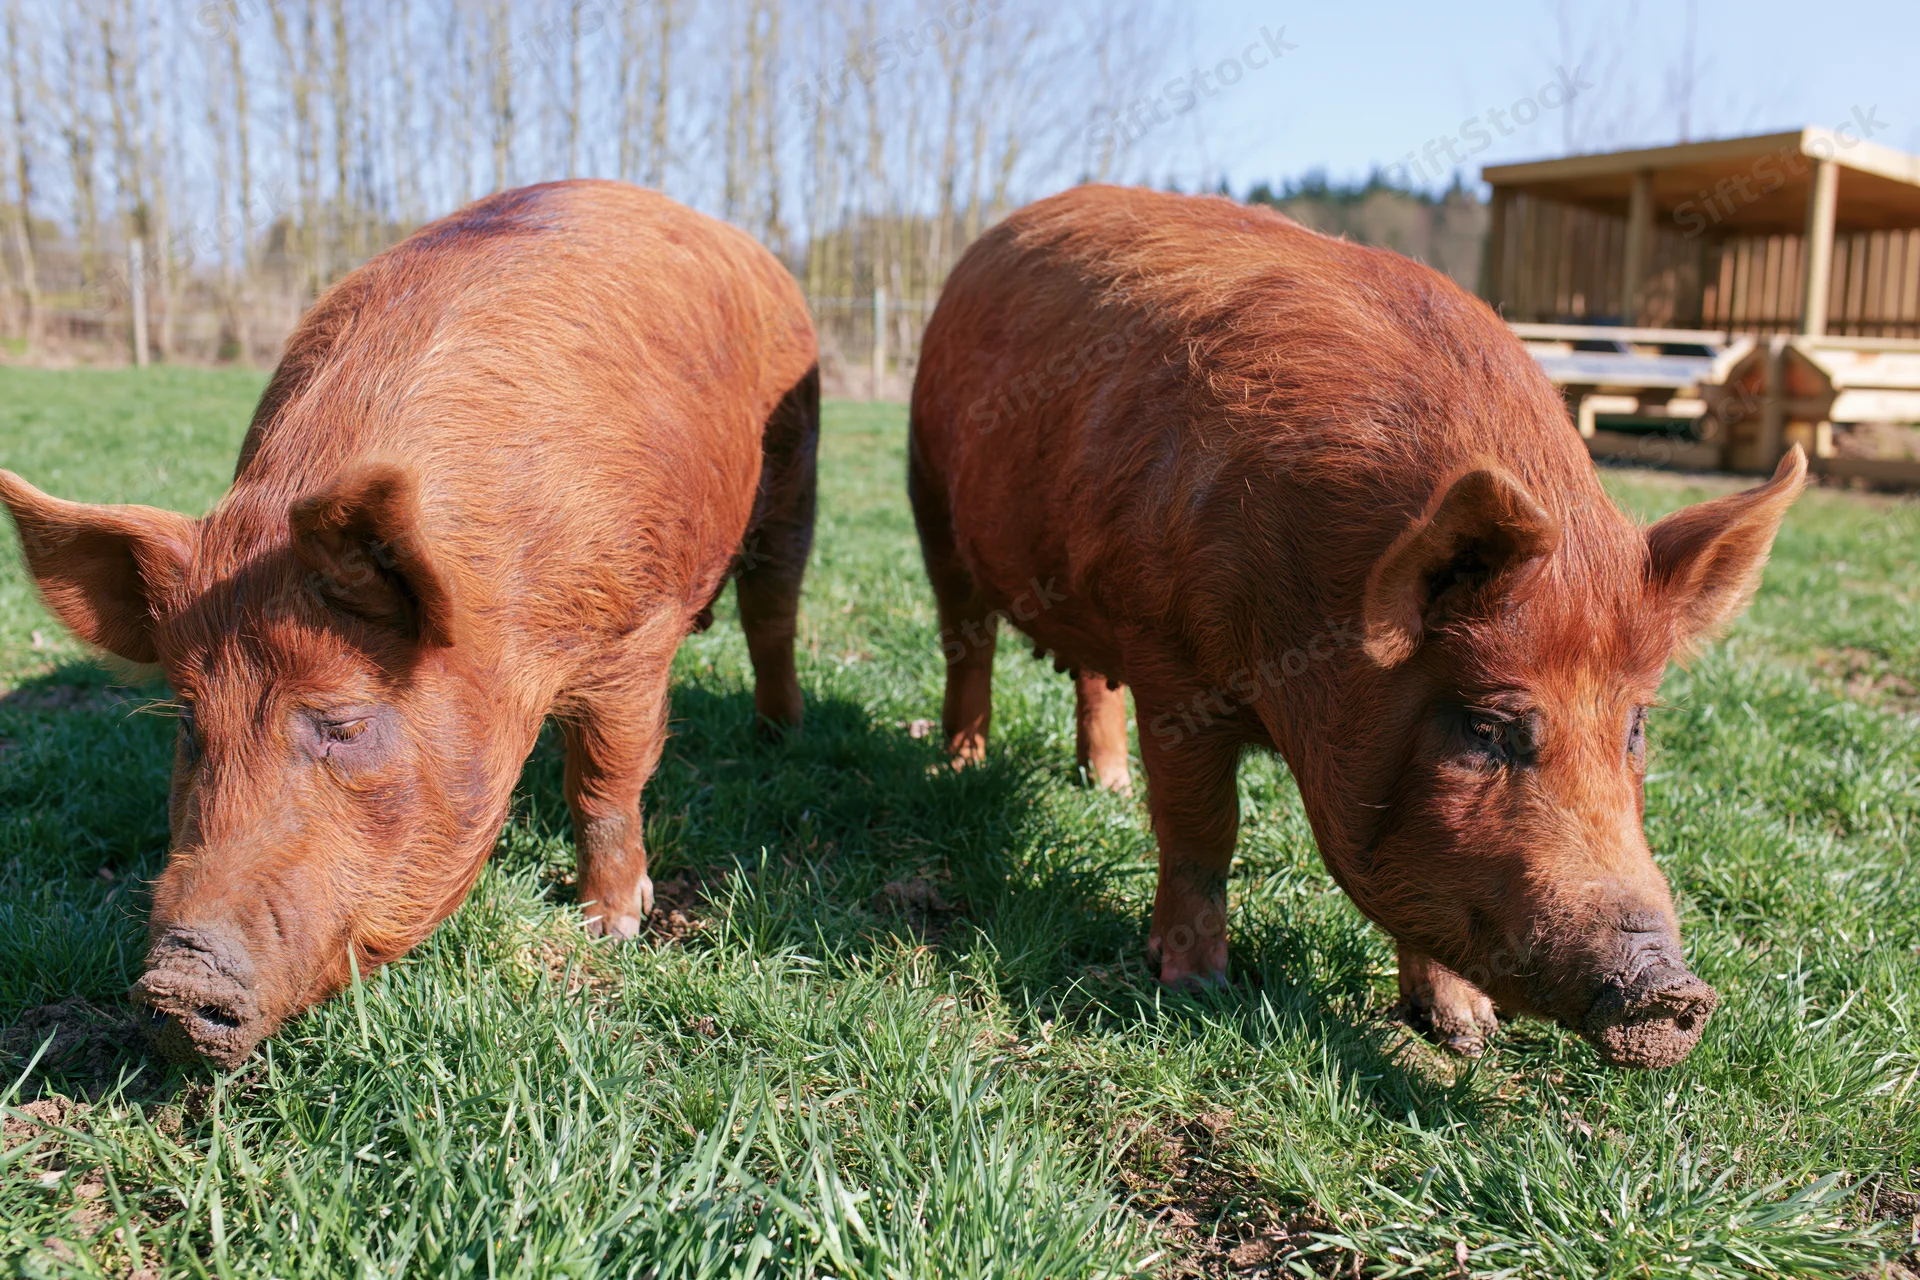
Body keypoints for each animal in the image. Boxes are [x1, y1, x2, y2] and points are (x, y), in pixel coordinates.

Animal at [0, 181, 819, 1067]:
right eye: (189, 719)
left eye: (347, 725)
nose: (175, 987)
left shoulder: (635, 631)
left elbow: (605, 781)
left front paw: (610, 926)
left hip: (795, 469)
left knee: (773, 611)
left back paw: (778, 735)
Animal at [908, 184, 1804, 1068]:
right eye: (1486, 728)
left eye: (1636, 727)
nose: (1674, 994)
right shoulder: (1170, 664)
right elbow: (1203, 831)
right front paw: (1196, 987)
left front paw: (1466, 1033)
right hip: (931, 499)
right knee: (966, 645)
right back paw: (961, 764)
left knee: (1091, 678)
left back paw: (1107, 784)